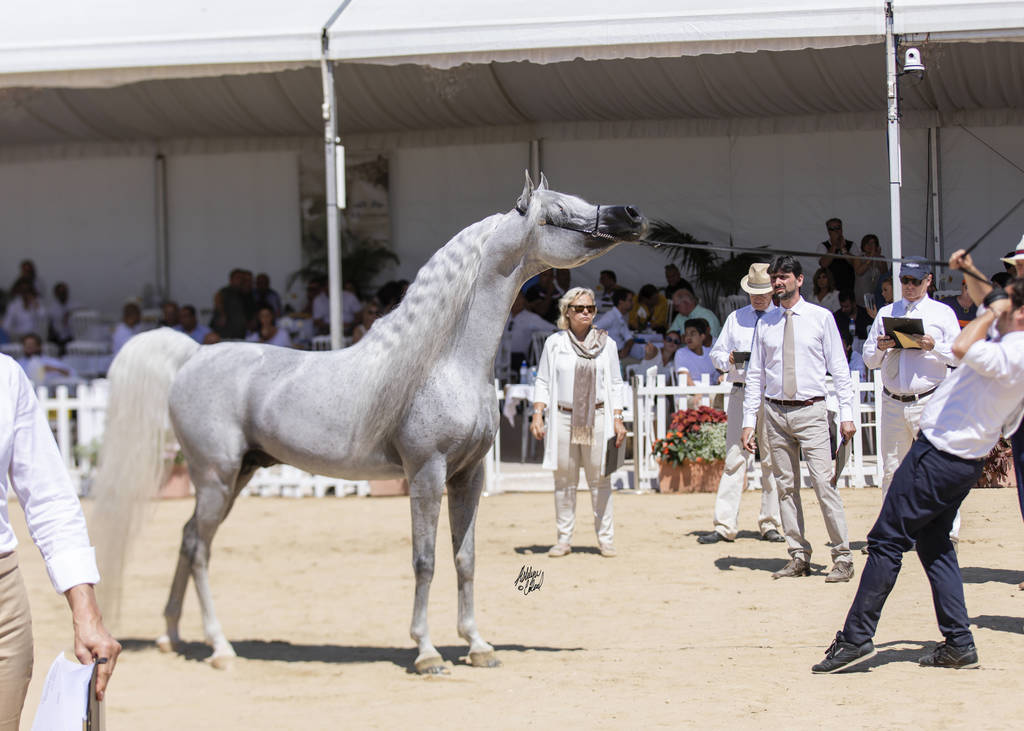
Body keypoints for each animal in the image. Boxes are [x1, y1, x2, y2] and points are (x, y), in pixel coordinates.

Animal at [91, 173, 647, 673]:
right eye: (556, 214)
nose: (631, 215)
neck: (444, 362)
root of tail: (191, 356)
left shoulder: (468, 477)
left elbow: (464, 559)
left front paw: (478, 646)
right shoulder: (426, 474)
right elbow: (426, 560)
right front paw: (426, 652)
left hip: (236, 476)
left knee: (188, 540)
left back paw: (170, 636)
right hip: (216, 477)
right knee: (201, 550)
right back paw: (220, 647)